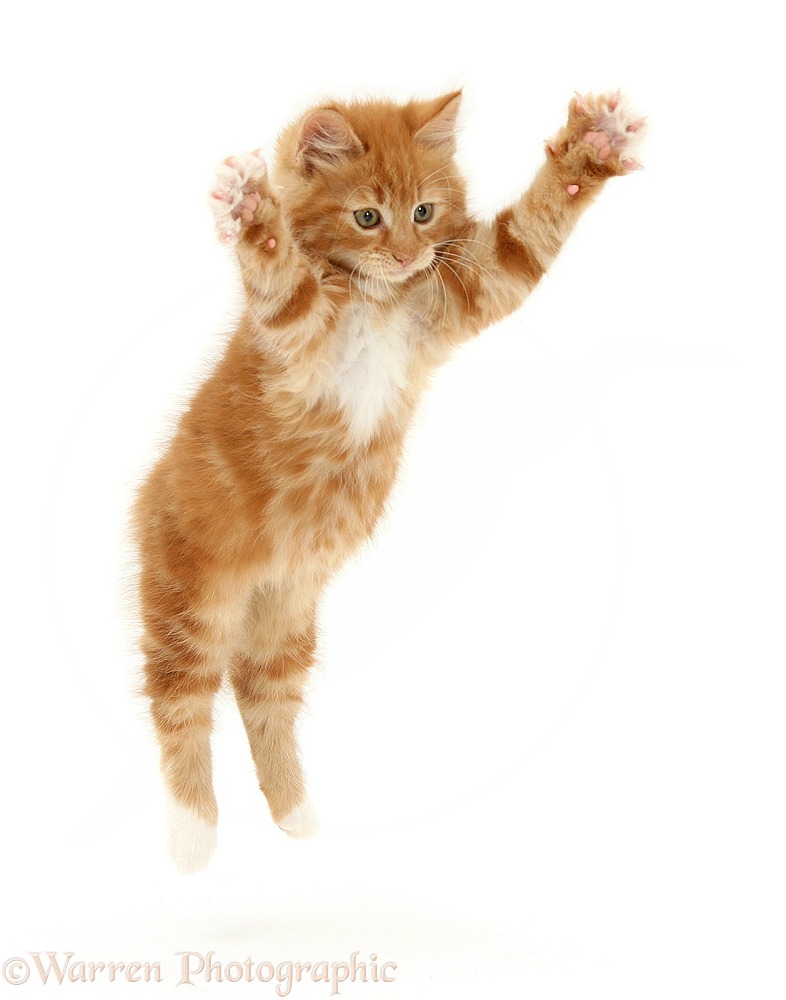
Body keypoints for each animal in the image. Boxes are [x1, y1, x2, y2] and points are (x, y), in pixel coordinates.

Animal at [133, 88, 644, 868]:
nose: (406, 254)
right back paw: (193, 833)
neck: (377, 300)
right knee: (181, 705)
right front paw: (253, 213)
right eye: (368, 217)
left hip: (287, 613)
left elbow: (528, 236)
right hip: (191, 600)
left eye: (425, 213)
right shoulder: (292, 335)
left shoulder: (466, 289)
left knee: (260, 695)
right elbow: (280, 279)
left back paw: (295, 812)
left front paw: (594, 146)